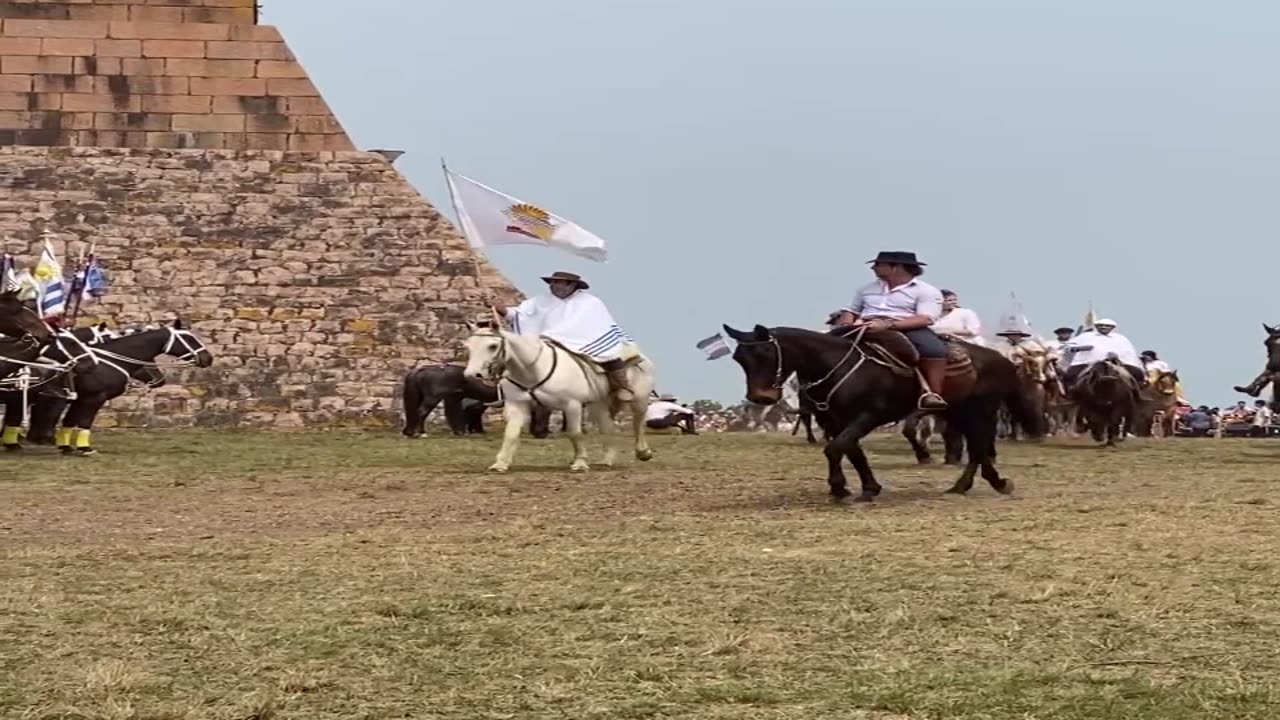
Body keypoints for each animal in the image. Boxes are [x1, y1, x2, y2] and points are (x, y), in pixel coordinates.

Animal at [463, 324, 660, 471]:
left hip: (639, 399)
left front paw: (580, 463)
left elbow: (574, 432)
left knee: (638, 423)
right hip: (599, 405)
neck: (532, 371)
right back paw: (606, 461)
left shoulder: (572, 404)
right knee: (608, 428)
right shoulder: (517, 405)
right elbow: (511, 433)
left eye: (492, 346)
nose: (473, 375)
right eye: (468, 346)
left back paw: (643, 452)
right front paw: (501, 463)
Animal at [721, 324, 1039, 499]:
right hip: (957, 412)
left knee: (979, 446)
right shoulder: (835, 422)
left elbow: (835, 449)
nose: (760, 397)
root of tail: (1001, 358)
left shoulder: (868, 417)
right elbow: (850, 450)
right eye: (739, 358)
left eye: (765, 352)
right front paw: (869, 487)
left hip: (980, 409)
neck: (838, 366)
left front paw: (839, 488)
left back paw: (982, 483)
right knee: (978, 447)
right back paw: (978, 484)